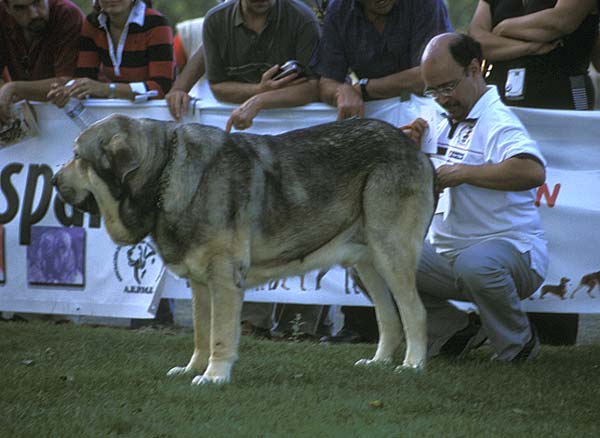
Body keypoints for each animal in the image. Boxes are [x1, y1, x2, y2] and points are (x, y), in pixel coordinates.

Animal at [54, 114, 434, 384]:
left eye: (78, 157)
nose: (56, 180)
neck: (164, 171)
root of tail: (416, 149)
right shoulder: (200, 283)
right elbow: (201, 332)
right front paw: (193, 368)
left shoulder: (223, 279)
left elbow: (220, 335)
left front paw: (214, 376)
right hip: (366, 265)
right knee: (389, 317)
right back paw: (379, 362)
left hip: (390, 254)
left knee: (415, 312)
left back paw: (413, 365)